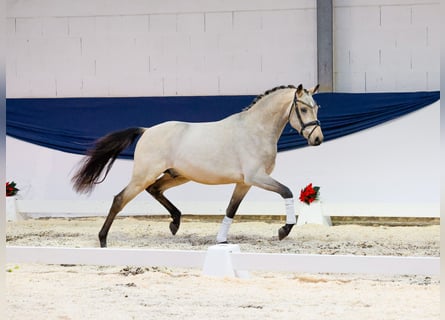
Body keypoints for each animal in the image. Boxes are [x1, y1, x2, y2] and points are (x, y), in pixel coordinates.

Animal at [72, 83, 322, 248]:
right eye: (303, 109)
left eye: (317, 107)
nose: (317, 139)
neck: (255, 130)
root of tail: (147, 130)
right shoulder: (256, 177)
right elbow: (286, 192)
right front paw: (284, 230)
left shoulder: (244, 183)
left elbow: (231, 209)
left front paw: (222, 240)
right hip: (144, 175)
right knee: (120, 199)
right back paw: (103, 240)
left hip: (177, 175)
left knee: (154, 189)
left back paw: (175, 223)